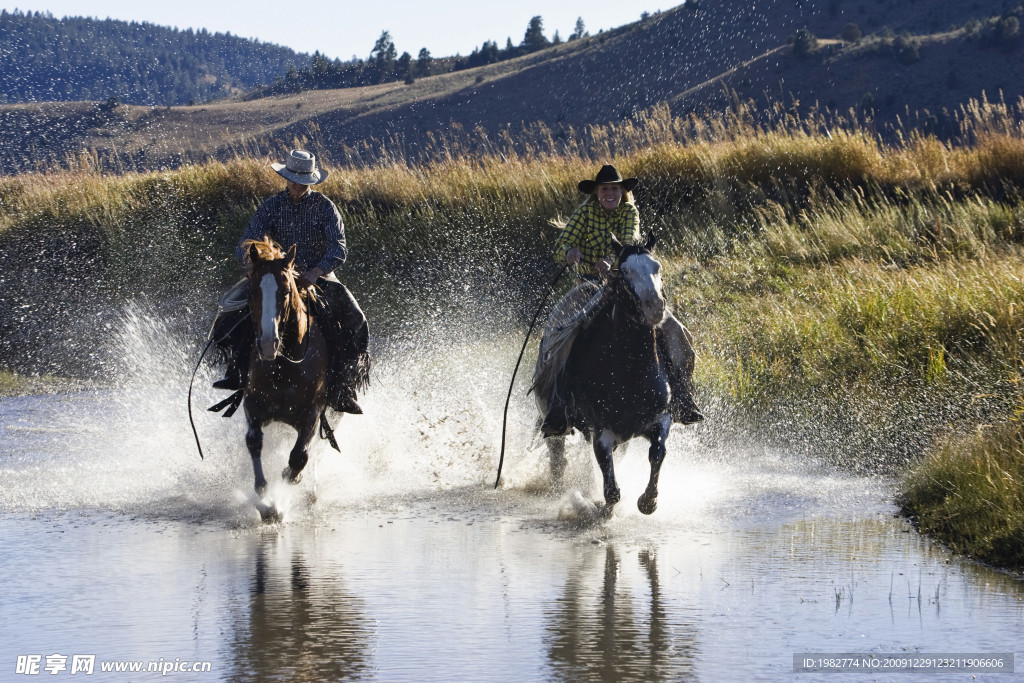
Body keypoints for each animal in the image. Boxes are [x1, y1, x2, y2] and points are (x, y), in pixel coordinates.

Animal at [243, 237, 327, 509]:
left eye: (286, 291)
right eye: (252, 291)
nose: (268, 344)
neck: (285, 366)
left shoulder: (313, 412)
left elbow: (299, 456)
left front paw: (287, 485)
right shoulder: (253, 404)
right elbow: (254, 441)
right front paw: (266, 501)